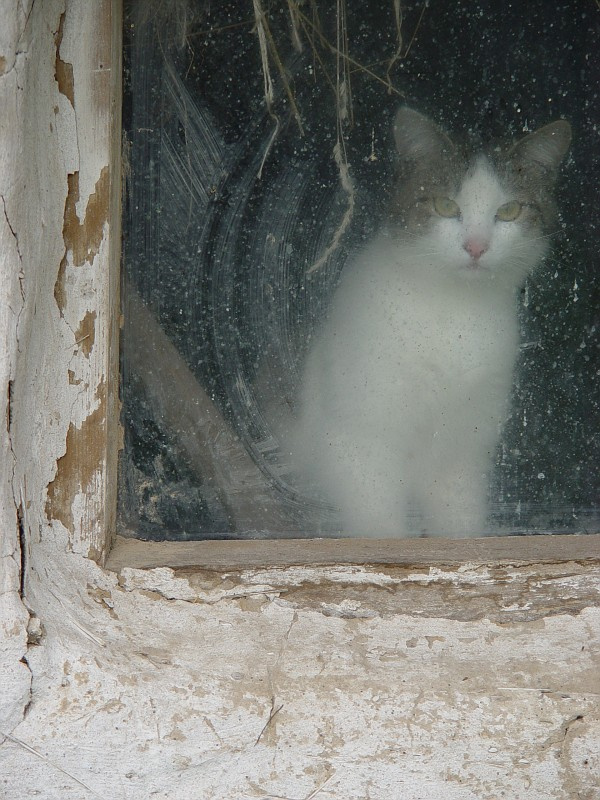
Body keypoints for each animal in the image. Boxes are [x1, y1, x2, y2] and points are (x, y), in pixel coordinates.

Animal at [291, 107, 571, 538]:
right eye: (444, 205)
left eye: (509, 211)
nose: (476, 247)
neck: (454, 314)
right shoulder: (360, 444)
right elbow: (380, 528)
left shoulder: (463, 451)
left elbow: (459, 523)